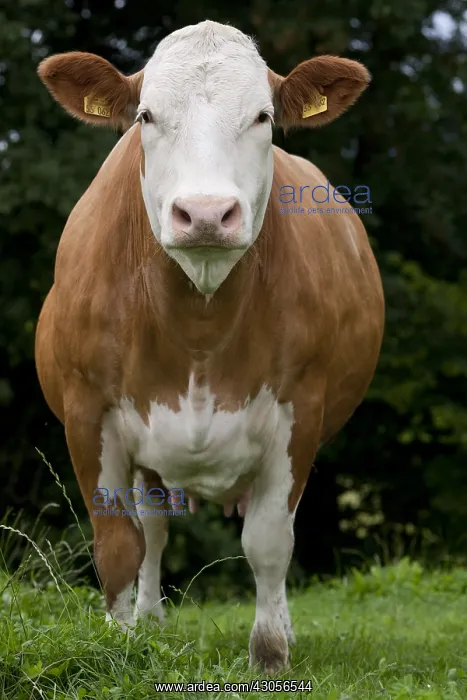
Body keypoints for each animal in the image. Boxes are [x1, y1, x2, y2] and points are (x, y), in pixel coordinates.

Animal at [35, 20, 384, 674]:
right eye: (146, 114)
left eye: (263, 116)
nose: (203, 213)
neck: (197, 329)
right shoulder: (86, 410)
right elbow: (118, 542)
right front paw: (119, 644)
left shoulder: (300, 411)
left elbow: (270, 540)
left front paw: (270, 653)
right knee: (153, 528)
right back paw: (148, 622)